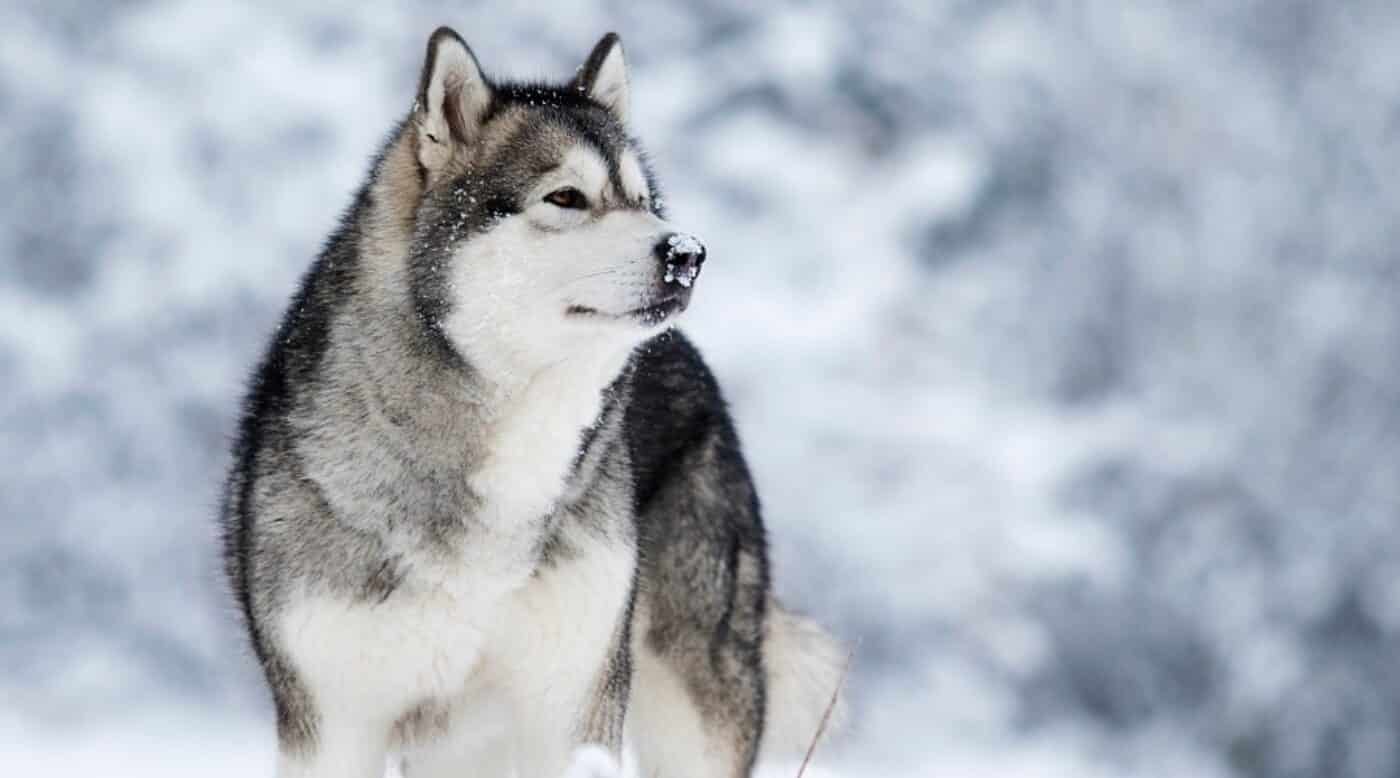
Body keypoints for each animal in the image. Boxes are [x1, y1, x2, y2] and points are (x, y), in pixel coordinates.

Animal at [221, 25, 840, 778]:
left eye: (643, 201)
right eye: (566, 198)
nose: (687, 253)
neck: (511, 445)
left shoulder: (575, 698)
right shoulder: (333, 722)